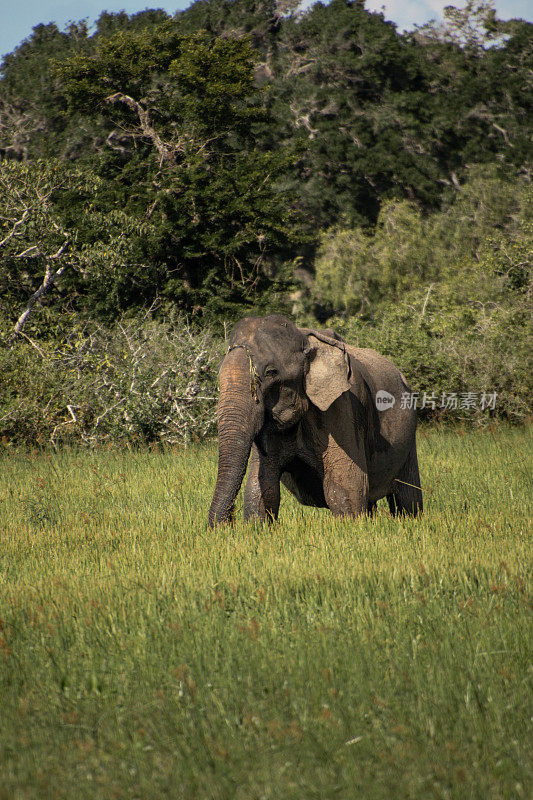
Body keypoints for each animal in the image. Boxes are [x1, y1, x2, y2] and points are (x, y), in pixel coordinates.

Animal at [208, 316, 420, 528]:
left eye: (271, 372)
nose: (228, 522)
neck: (305, 339)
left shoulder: (342, 407)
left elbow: (346, 487)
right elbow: (261, 487)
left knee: (408, 499)